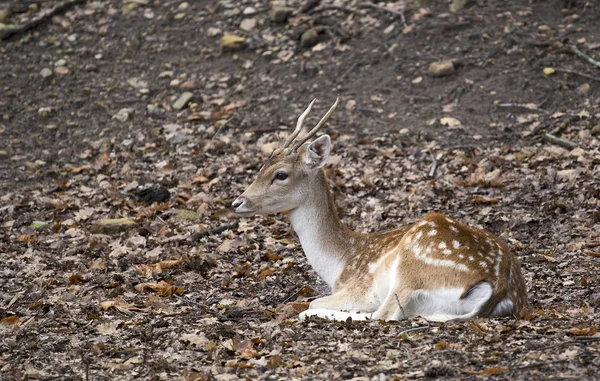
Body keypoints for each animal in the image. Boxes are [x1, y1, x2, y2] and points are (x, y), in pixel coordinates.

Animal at [232, 98, 528, 320]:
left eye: (281, 174)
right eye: (261, 166)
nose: (237, 202)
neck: (340, 263)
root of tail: (500, 287)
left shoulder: (360, 287)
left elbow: (316, 301)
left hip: (412, 267)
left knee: (381, 315)